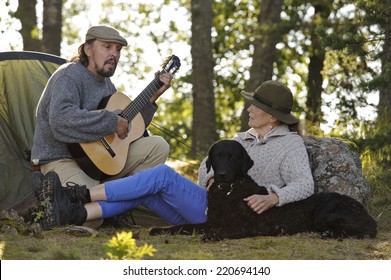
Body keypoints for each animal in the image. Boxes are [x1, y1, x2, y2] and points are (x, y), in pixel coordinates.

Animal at [149, 139, 376, 240]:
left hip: (327, 215)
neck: (228, 191)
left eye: (233, 156)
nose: (221, 174)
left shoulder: (245, 227)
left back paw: (332, 234)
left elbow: (226, 231)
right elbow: (182, 227)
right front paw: (159, 230)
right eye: (217, 156)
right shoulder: (210, 222)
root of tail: (362, 208)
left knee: (363, 230)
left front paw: (212, 237)